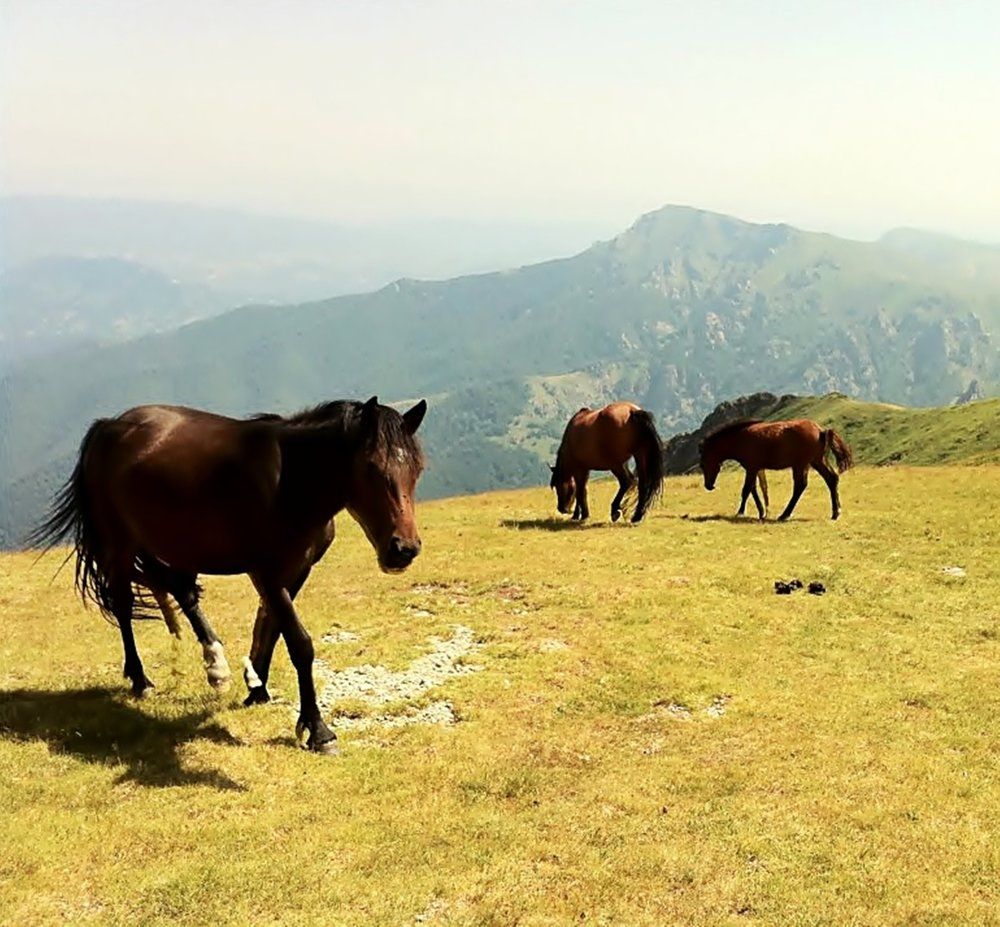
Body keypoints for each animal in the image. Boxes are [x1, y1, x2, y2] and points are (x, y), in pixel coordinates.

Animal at [28, 395, 427, 754]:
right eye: (371, 468)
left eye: (417, 469)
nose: (403, 549)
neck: (291, 482)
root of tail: (108, 426)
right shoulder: (267, 571)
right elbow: (299, 642)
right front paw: (318, 731)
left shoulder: (297, 570)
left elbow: (271, 627)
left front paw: (257, 688)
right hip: (119, 544)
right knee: (124, 605)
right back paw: (142, 680)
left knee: (180, 590)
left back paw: (215, 663)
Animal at [698, 419, 853, 521]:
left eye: (703, 464)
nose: (708, 485)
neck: (740, 438)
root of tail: (821, 431)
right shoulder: (755, 468)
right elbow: (755, 489)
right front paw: (762, 512)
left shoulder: (751, 468)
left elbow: (746, 490)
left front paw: (741, 512)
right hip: (817, 461)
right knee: (831, 479)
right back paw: (835, 513)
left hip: (801, 465)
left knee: (800, 486)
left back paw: (785, 515)